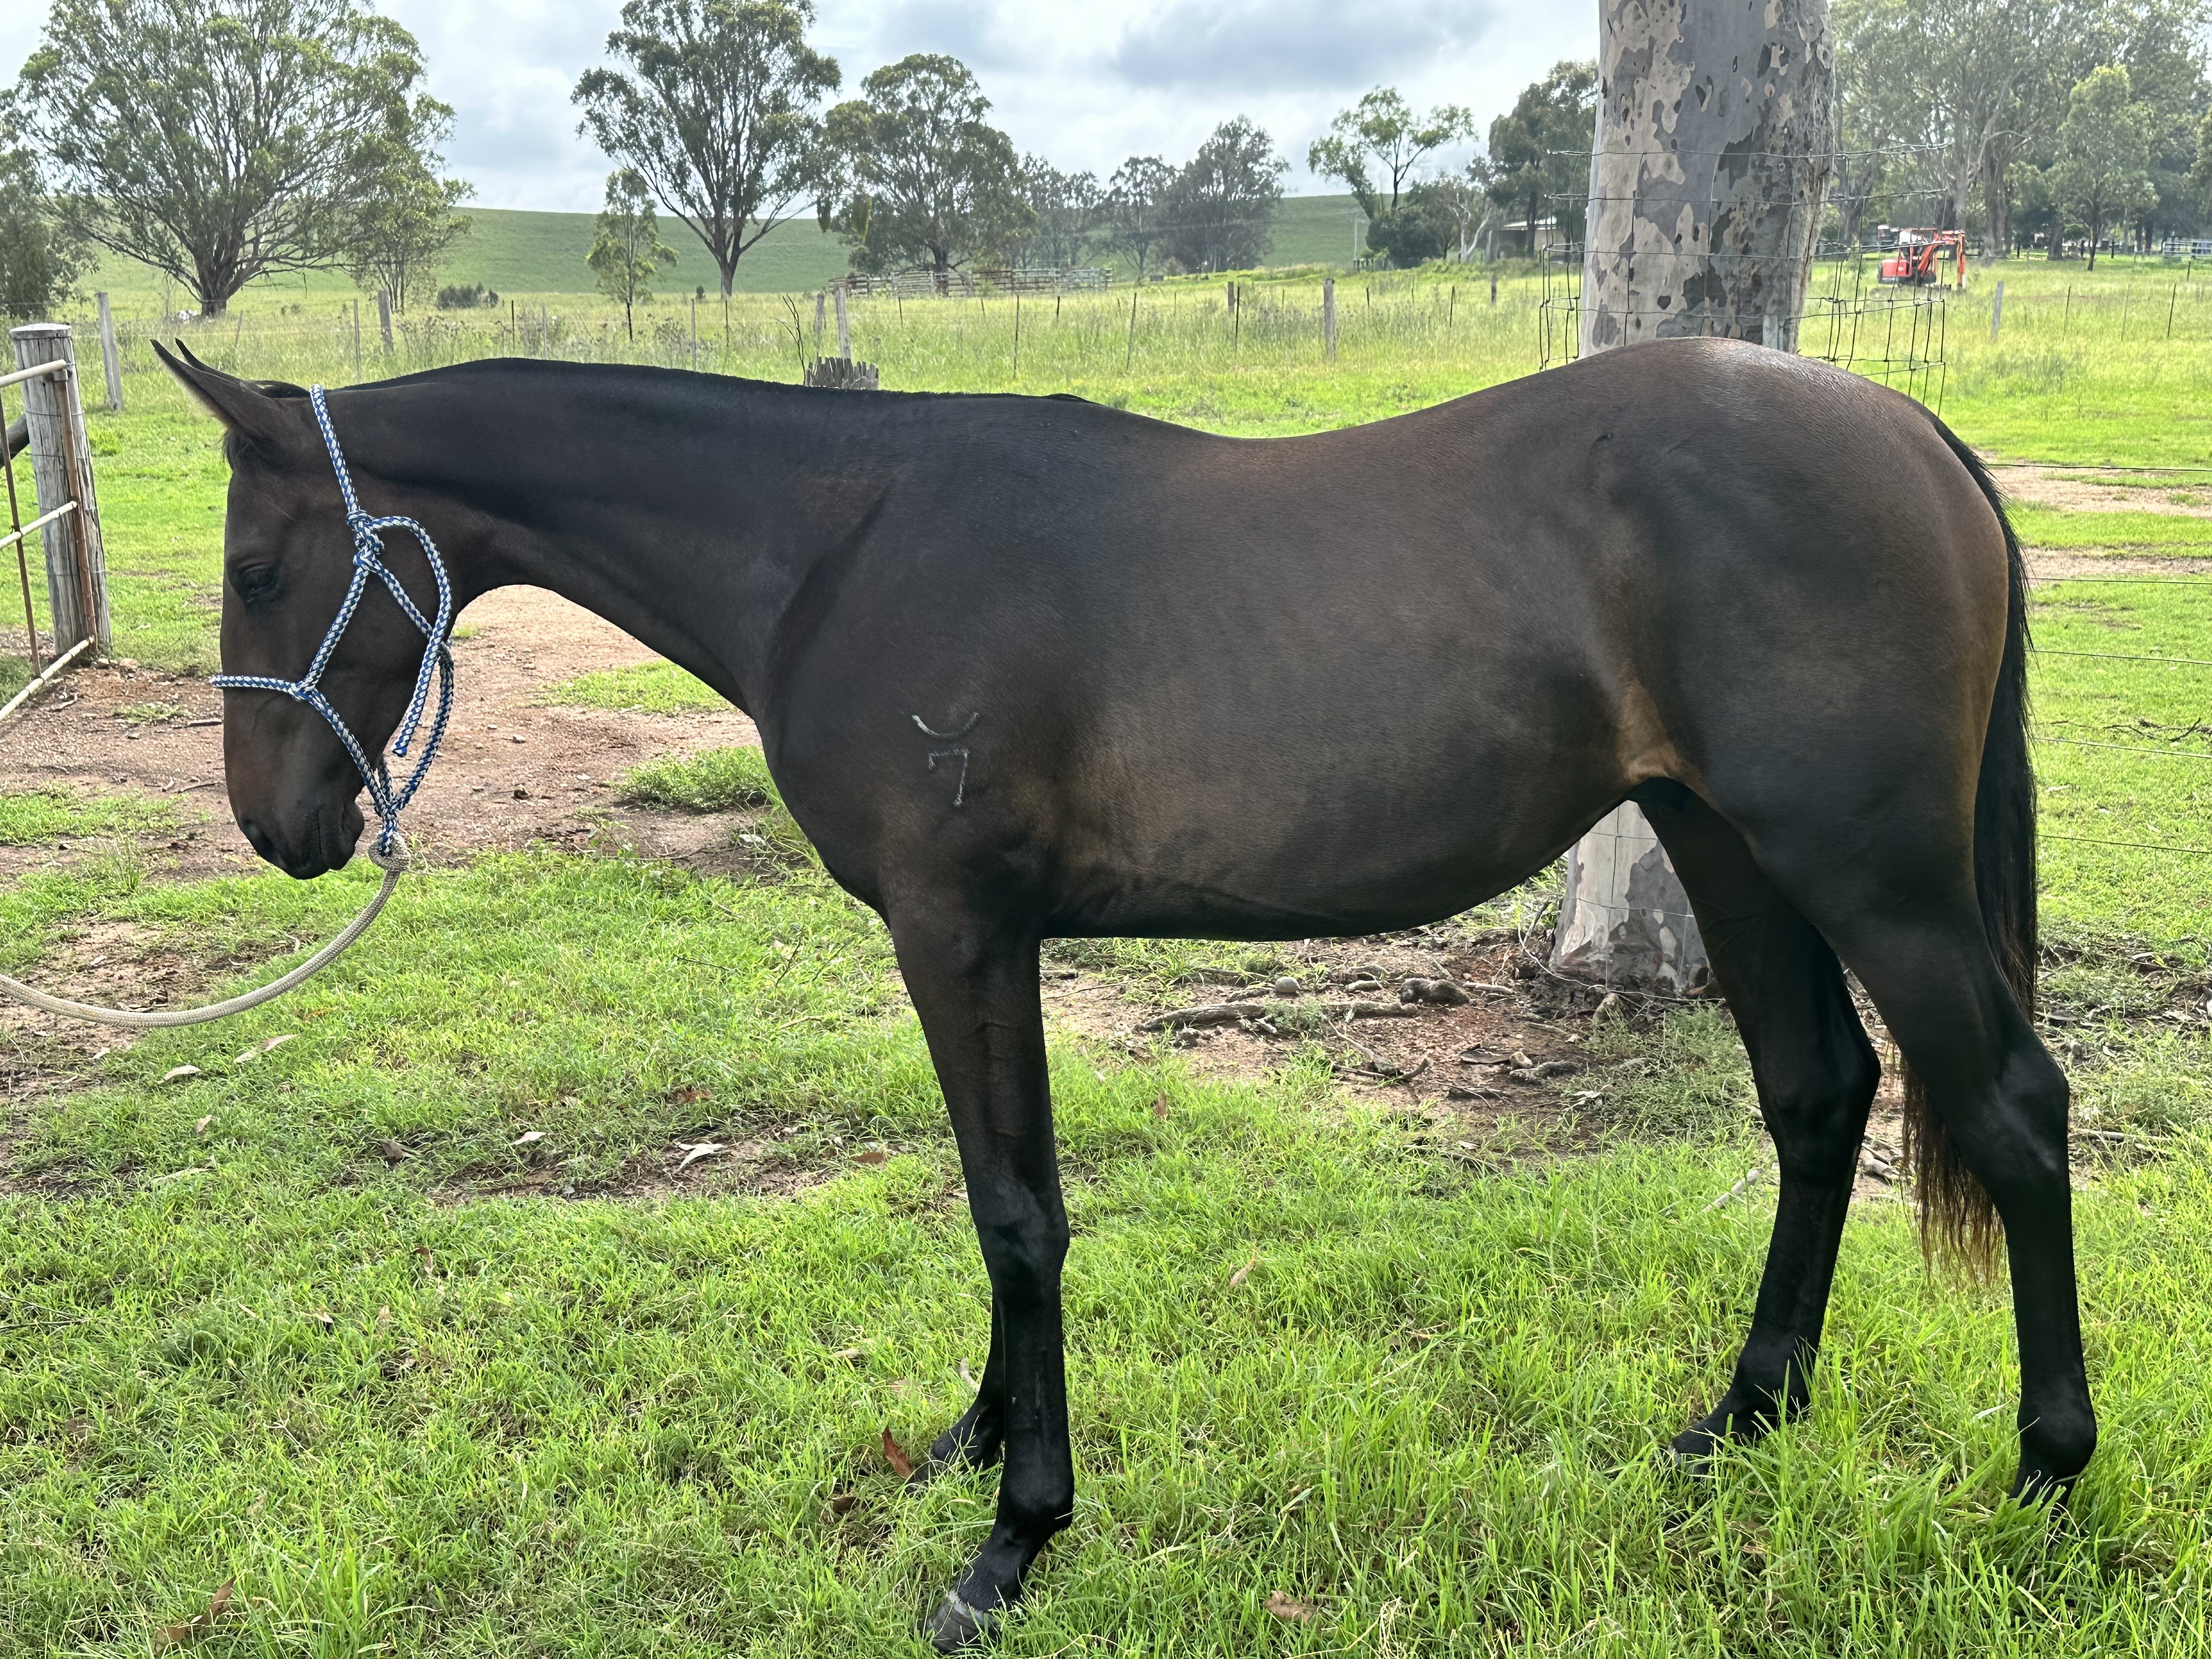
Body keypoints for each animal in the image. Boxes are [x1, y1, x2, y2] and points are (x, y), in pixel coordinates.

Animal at [155, 335, 2091, 1649]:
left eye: (257, 568)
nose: (277, 826)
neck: (843, 543)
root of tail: (1903, 431)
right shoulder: (981, 942)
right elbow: (1001, 1202)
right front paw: (978, 1440)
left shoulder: (956, 930)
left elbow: (1018, 1213)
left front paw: (1015, 1540)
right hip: (1728, 843)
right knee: (1819, 1095)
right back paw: (1743, 1421)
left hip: (1865, 869)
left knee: (2013, 1113)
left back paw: (2046, 1478)